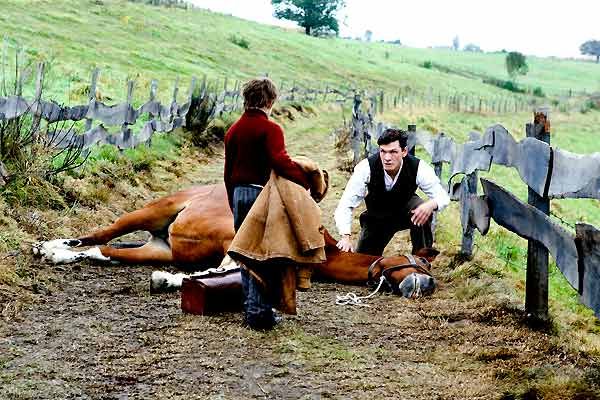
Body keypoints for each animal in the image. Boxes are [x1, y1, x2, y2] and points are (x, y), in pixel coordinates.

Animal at [32, 183, 438, 298]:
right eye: (416, 261)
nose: (428, 284)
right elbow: (223, 267)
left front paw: (168, 280)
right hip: (148, 213)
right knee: (98, 235)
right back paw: (49, 246)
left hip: (155, 248)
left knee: (104, 250)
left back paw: (58, 254)